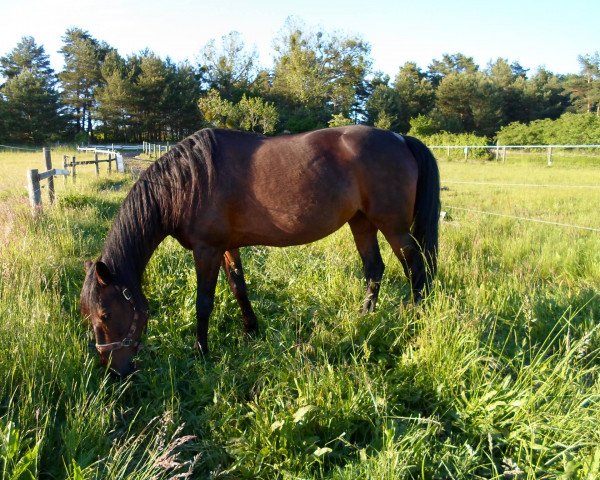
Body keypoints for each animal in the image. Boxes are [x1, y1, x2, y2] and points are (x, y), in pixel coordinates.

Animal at [79, 125, 440, 376]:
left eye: (105, 314)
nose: (113, 370)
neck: (188, 183)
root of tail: (400, 139)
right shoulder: (228, 248)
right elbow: (239, 287)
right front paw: (252, 330)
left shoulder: (207, 250)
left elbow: (204, 303)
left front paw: (201, 351)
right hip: (361, 222)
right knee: (374, 268)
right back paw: (364, 319)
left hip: (392, 226)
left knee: (415, 265)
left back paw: (418, 318)